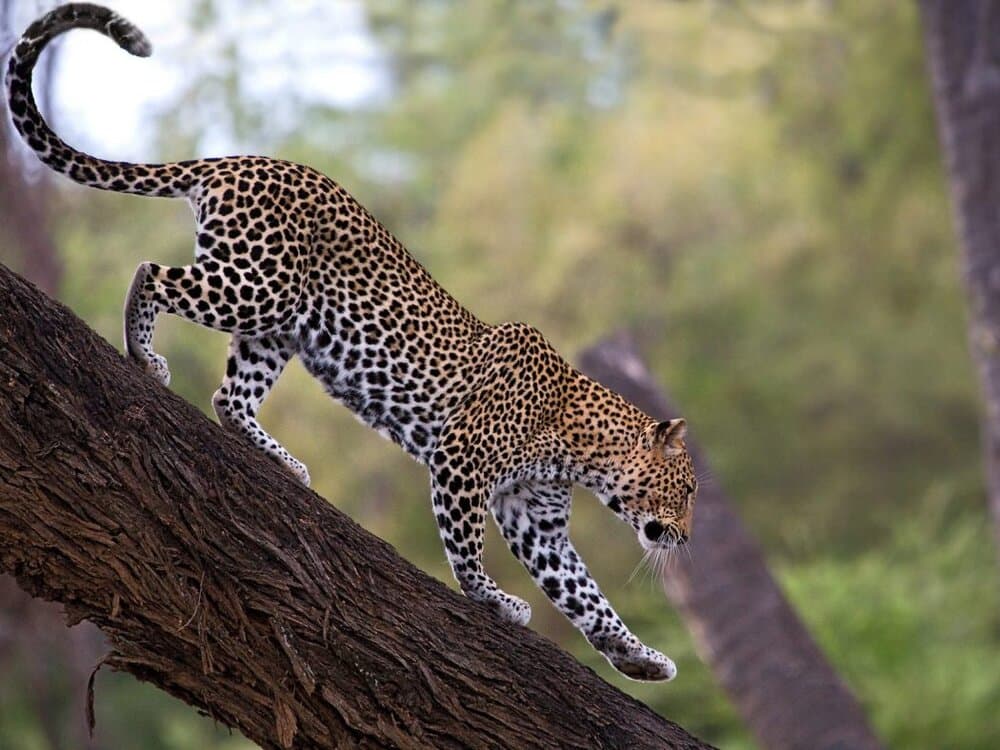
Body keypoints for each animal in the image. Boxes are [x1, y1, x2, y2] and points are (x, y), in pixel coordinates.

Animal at [6, 3, 699, 681]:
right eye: (689, 491)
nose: (687, 539)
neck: (582, 448)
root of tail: (239, 160)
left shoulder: (537, 519)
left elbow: (585, 594)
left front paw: (639, 657)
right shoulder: (462, 461)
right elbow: (467, 547)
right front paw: (493, 599)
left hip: (278, 327)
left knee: (231, 397)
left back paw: (281, 461)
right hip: (256, 286)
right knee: (151, 273)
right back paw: (144, 356)